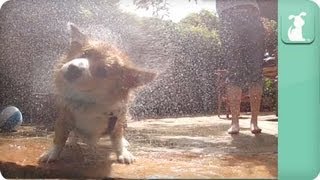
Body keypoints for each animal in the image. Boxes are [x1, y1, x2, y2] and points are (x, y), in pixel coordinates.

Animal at [38, 23, 156, 164]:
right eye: (84, 53)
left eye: (103, 71)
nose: (74, 68)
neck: (87, 101)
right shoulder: (63, 119)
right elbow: (59, 139)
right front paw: (52, 153)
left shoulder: (116, 122)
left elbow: (117, 139)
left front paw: (123, 153)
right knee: (74, 133)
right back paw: (72, 141)